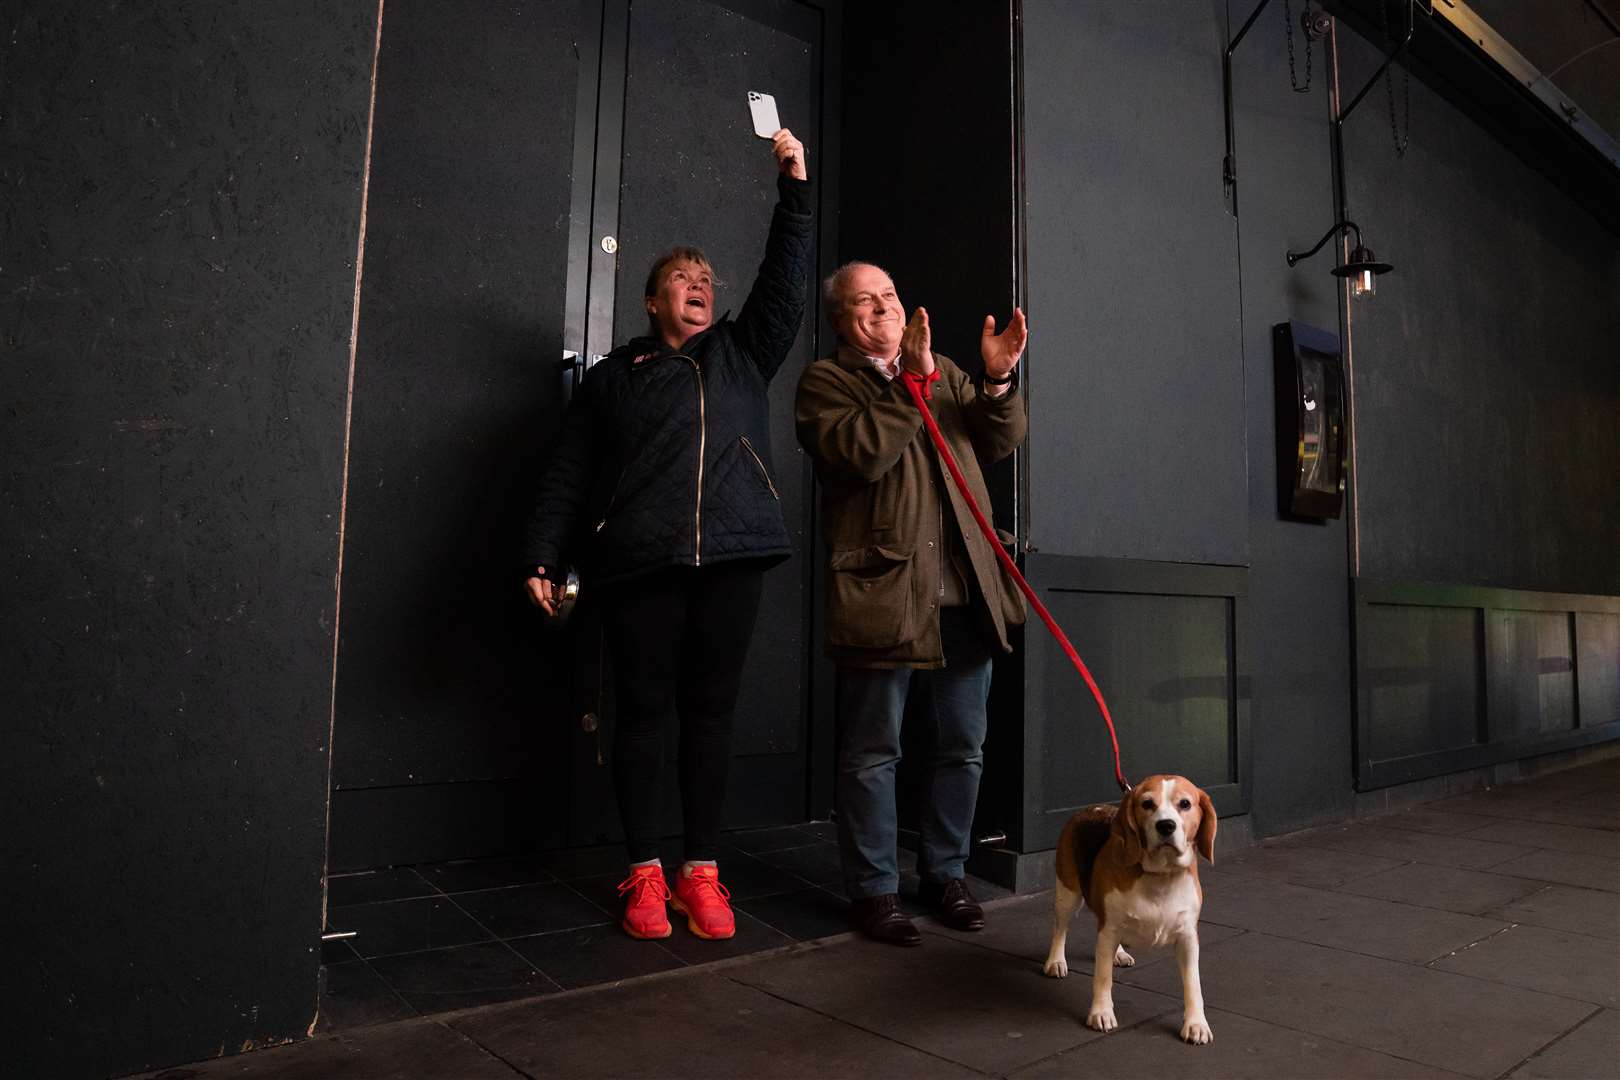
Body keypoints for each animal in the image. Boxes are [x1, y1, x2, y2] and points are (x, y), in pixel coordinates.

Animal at [1036, 777, 1218, 1049]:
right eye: (1147, 803)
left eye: (1185, 804)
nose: (1166, 825)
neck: (1160, 876)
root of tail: (1093, 808)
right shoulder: (1107, 931)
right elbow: (1103, 978)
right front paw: (1101, 1013)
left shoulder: (1187, 938)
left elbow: (1193, 984)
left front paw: (1196, 1024)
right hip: (1067, 894)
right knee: (1060, 928)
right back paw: (1056, 961)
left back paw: (1119, 954)